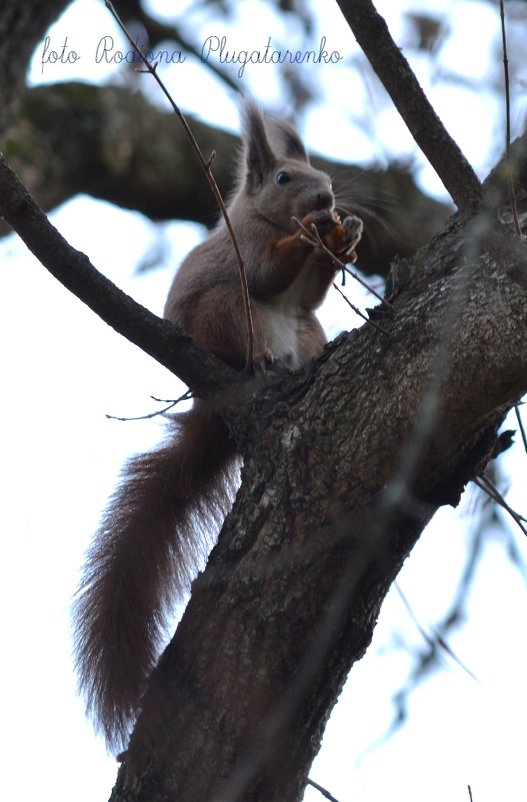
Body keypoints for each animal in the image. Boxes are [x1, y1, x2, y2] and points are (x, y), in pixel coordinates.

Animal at [73, 101, 364, 752]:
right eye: (284, 177)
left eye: (322, 174)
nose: (327, 199)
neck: (262, 215)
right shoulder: (247, 247)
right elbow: (267, 273)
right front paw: (312, 235)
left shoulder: (307, 294)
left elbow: (312, 290)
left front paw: (347, 235)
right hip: (225, 313)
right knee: (241, 321)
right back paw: (258, 364)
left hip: (307, 332)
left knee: (308, 325)